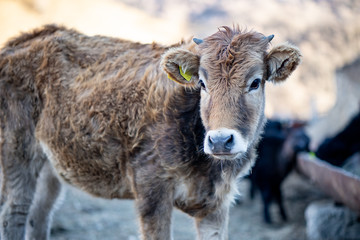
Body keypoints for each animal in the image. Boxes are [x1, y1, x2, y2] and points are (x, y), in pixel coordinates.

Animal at [0, 25, 300, 239]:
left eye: (255, 82)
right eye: (202, 83)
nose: (220, 140)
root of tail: (24, 40)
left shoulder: (217, 203)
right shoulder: (151, 191)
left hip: (50, 165)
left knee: (40, 214)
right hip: (16, 149)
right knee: (15, 211)